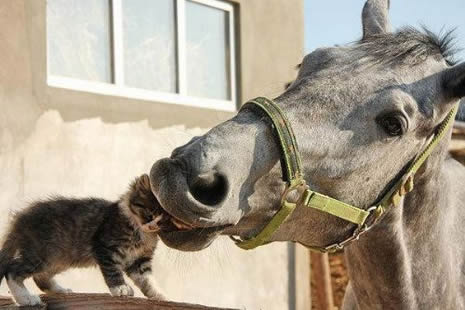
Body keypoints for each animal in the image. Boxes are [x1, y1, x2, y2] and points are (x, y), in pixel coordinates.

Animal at [0, 173, 176, 306]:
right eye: (150, 215)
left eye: (162, 222)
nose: (152, 226)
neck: (140, 232)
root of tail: (22, 217)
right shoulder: (105, 247)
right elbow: (113, 271)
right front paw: (120, 288)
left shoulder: (140, 261)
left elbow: (148, 280)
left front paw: (160, 295)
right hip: (41, 253)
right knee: (12, 270)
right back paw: (26, 299)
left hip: (58, 258)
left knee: (40, 277)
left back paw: (59, 290)